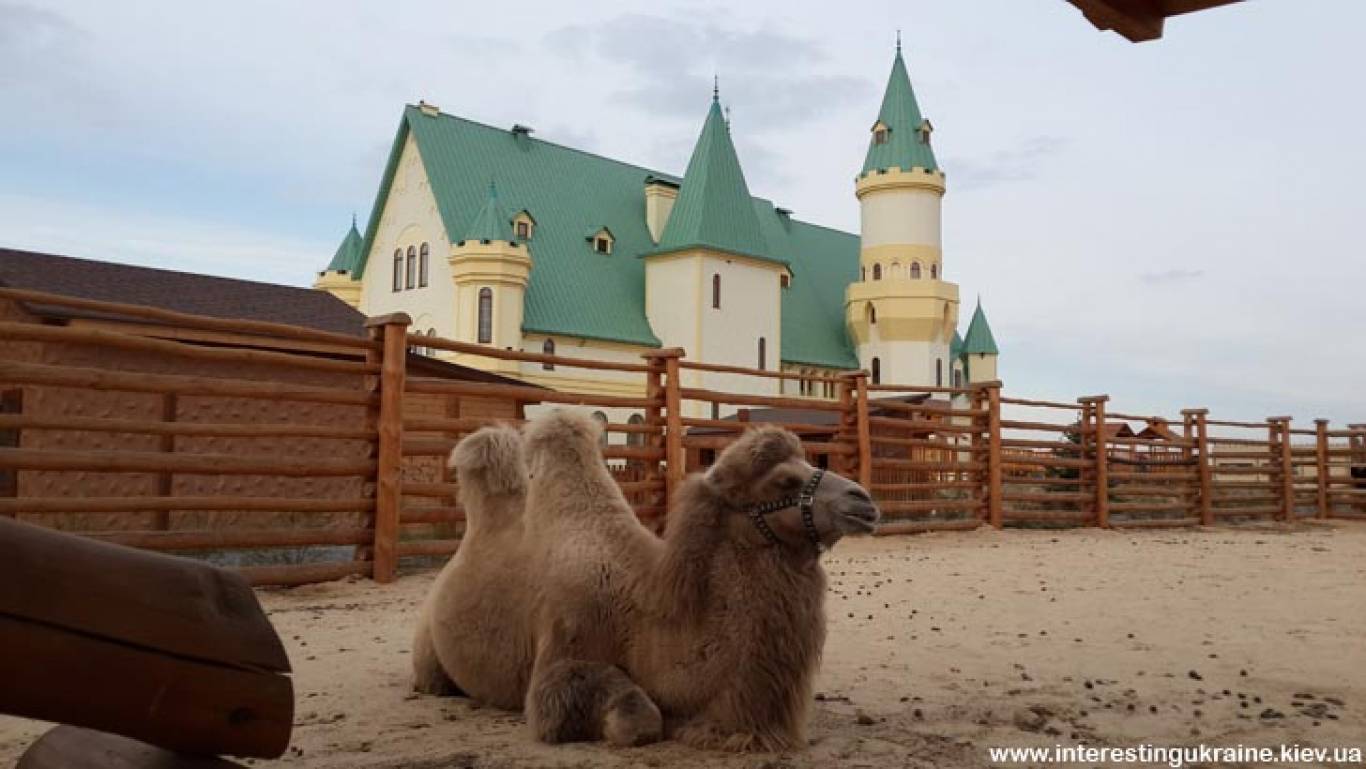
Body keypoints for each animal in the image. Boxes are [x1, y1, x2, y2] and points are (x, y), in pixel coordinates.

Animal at [409, 412, 879, 753]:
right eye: (784, 481)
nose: (864, 501)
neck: (643, 613)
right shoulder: (561, 658)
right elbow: (639, 719)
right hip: (428, 647)